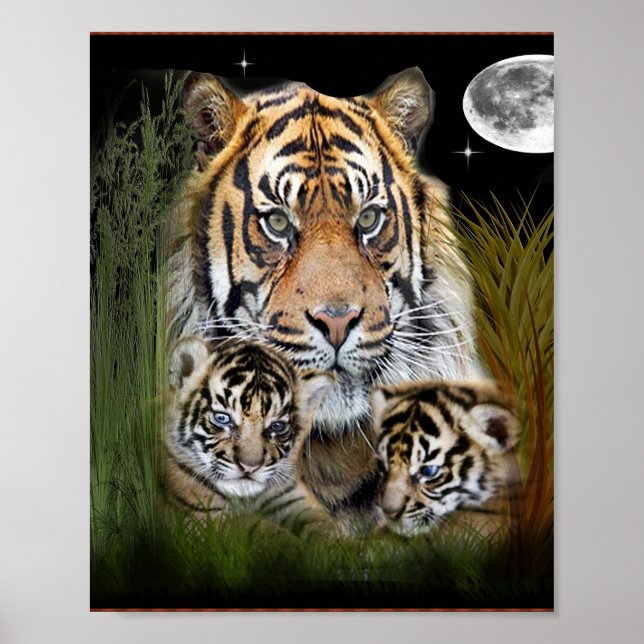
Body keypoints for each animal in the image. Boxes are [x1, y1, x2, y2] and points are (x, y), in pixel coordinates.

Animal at [165, 336, 336, 534]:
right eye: (222, 418)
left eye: (277, 426)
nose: (249, 467)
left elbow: (325, 526)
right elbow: (262, 529)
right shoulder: (203, 517)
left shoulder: (290, 494)